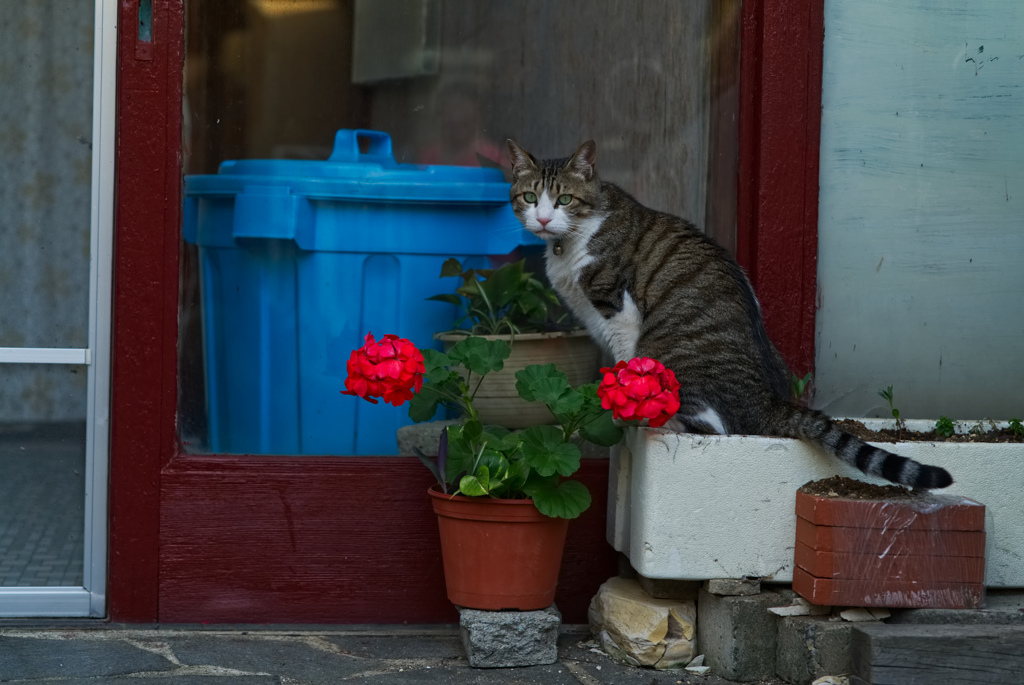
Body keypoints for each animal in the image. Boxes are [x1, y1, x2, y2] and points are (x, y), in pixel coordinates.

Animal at [507, 139, 954, 489]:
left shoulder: (618, 309)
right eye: (530, 198)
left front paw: (618, 415)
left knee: (714, 426)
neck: (571, 242)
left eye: (564, 200)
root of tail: (770, 402)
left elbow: (624, 364)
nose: (543, 218)